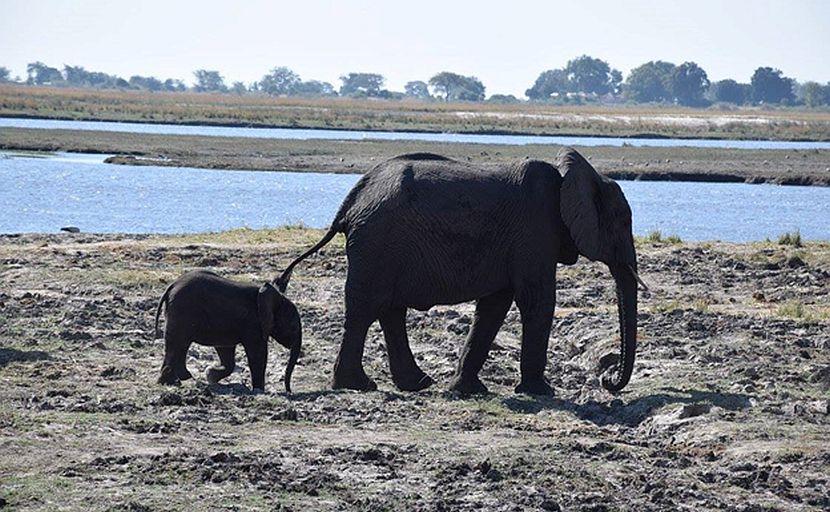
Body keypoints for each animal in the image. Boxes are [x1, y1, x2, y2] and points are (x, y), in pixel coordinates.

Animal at [153, 270, 302, 394]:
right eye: (293, 327)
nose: (289, 391)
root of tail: (172, 286)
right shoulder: (253, 324)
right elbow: (258, 354)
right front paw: (259, 390)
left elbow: (226, 350)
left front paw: (210, 375)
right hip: (181, 312)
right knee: (177, 343)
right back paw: (175, 380)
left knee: (178, 345)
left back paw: (177, 379)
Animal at [278, 148, 644, 396]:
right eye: (622, 222)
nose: (607, 379)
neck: (576, 176)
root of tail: (351, 201)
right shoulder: (535, 231)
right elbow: (537, 300)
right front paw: (541, 393)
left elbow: (494, 306)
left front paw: (466, 390)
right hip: (377, 242)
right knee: (366, 308)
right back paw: (360, 386)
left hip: (381, 247)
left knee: (388, 309)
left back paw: (416, 384)